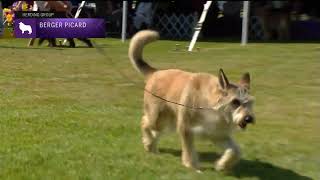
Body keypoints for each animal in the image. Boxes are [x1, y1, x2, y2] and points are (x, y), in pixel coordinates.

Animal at [129, 29, 256, 172]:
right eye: (235, 102)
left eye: (250, 103)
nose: (248, 119)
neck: (212, 108)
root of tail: (155, 72)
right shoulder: (186, 129)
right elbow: (189, 151)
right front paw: (192, 166)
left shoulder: (219, 135)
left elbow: (235, 151)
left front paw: (222, 165)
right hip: (157, 118)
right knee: (144, 122)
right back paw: (148, 142)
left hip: (168, 122)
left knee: (155, 132)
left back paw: (150, 146)